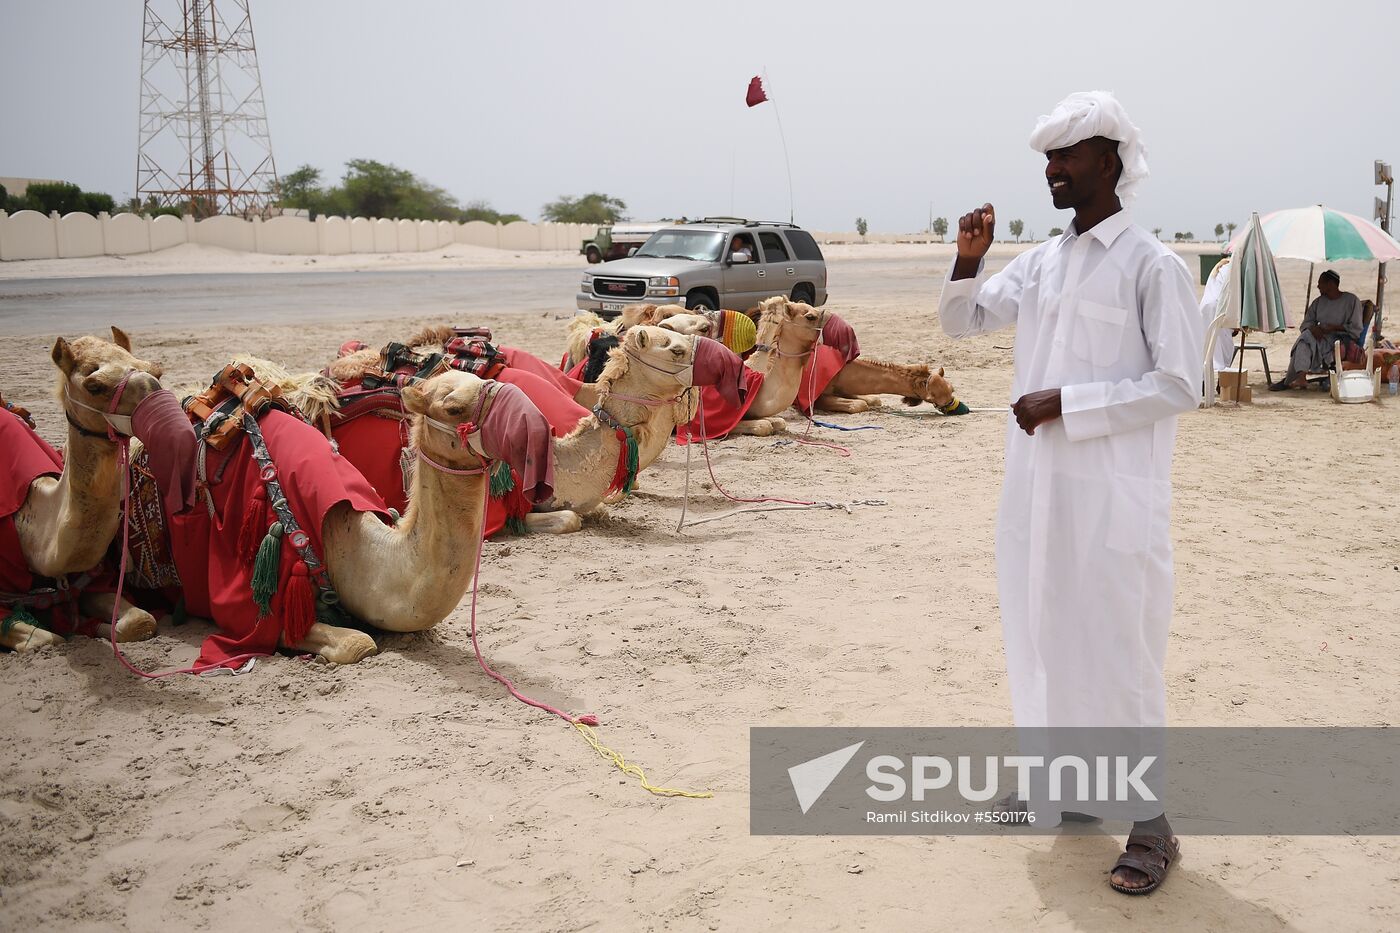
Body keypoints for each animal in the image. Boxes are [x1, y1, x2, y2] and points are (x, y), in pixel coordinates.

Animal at [1, 330, 161, 650]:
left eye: (155, 370)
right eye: (94, 385)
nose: (156, 391)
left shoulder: (91, 581)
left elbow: (141, 621)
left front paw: (95, 627)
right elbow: (47, 638)